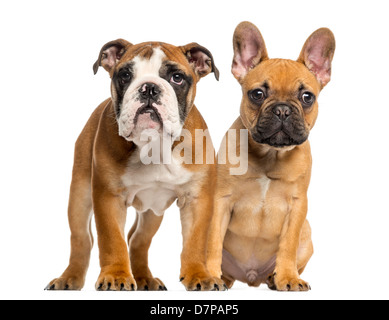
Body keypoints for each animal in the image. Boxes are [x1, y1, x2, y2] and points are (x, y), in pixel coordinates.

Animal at [45, 38, 226, 292]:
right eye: (125, 75)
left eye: (177, 77)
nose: (149, 87)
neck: (154, 146)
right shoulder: (108, 197)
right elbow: (112, 240)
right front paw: (116, 276)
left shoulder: (197, 199)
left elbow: (195, 240)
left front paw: (199, 275)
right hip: (80, 194)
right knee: (82, 239)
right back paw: (69, 278)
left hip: (152, 211)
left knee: (137, 239)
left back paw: (144, 278)